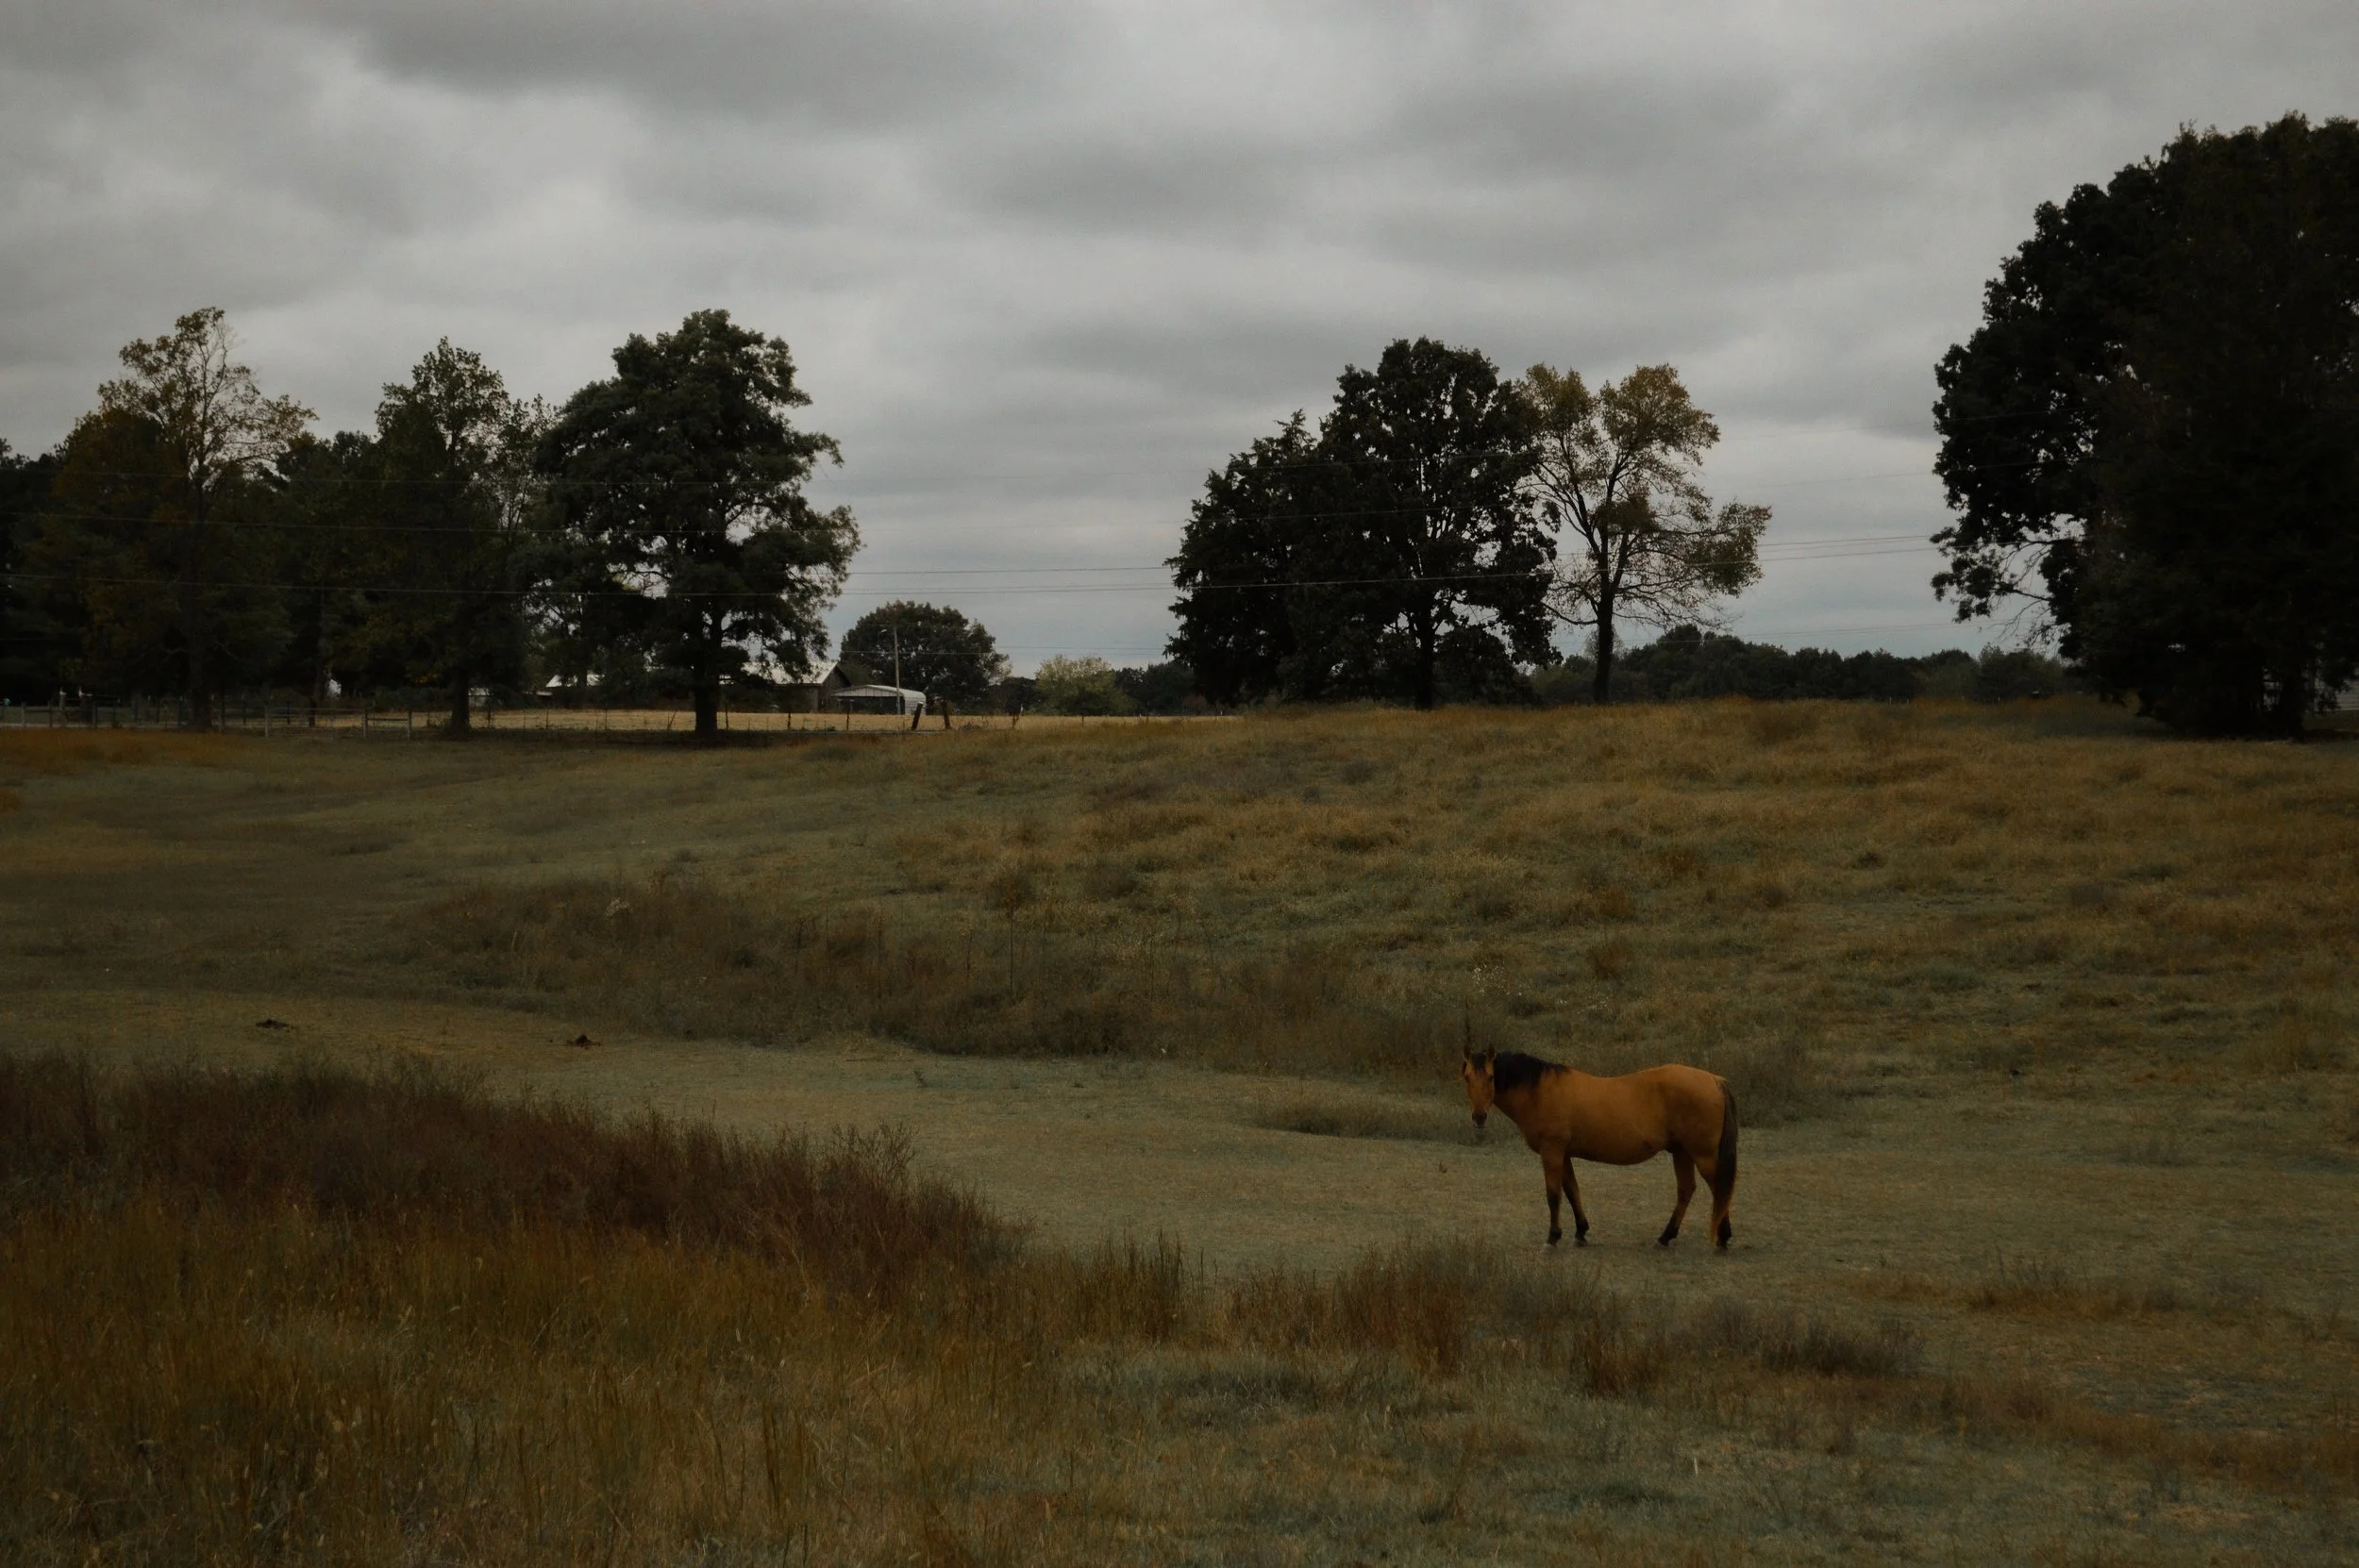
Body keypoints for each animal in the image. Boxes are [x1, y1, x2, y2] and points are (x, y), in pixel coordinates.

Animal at [1461, 1046, 1738, 1249]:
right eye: (1466, 1077)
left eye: (1491, 1077)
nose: (1479, 1117)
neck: (1540, 1091)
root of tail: (1714, 1079)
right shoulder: (1564, 1155)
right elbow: (1572, 1191)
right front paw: (1580, 1232)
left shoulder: (1552, 1152)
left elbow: (1553, 1194)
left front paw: (1552, 1237)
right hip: (1681, 1152)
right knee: (1686, 1190)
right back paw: (1665, 1236)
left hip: (1701, 1154)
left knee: (1718, 1188)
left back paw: (1722, 1236)